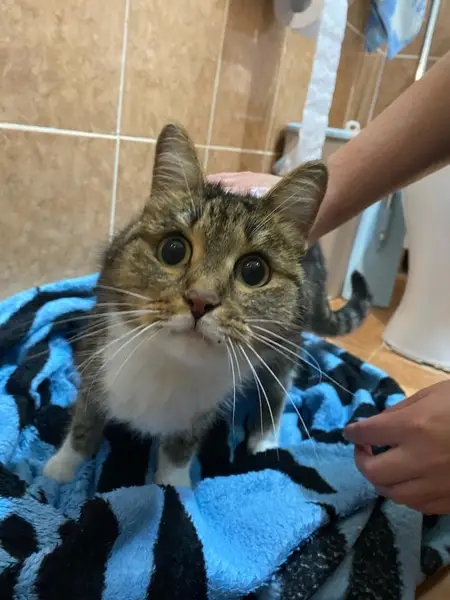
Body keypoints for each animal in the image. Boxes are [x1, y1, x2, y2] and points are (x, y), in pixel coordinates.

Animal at [43, 123, 370, 488]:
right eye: (172, 250)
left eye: (254, 271)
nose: (201, 300)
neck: (169, 369)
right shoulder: (94, 360)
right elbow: (85, 422)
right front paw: (60, 470)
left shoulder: (200, 412)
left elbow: (180, 447)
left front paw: (171, 487)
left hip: (285, 343)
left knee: (278, 388)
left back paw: (264, 441)